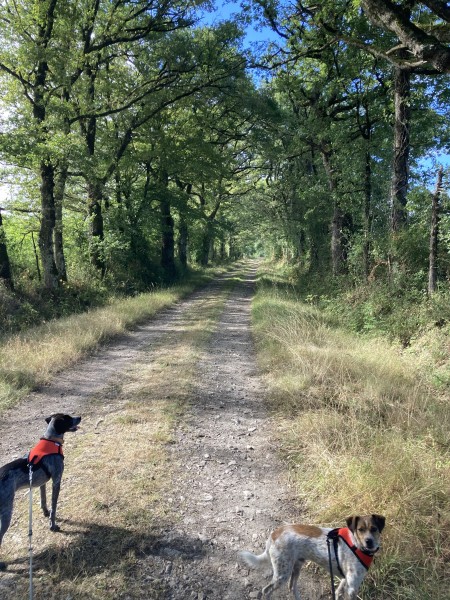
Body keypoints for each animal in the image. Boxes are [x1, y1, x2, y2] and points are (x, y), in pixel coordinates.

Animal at [0, 414, 80, 568]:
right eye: (68, 418)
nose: (79, 417)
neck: (51, 440)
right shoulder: (56, 481)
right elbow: (54, 507)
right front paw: (53, 525)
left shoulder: (41, 483)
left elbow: (44, 500)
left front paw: (45, 512)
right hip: (6, 513)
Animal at [239, 516, 386, 600]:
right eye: (360, 529)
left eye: (374, 529)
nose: (369, 542)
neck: (356, 544)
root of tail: (274, 534)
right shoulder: (352, 587)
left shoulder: (345, 581)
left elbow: (337, 593)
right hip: (282, 573)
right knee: (266, 591)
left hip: (296, 567)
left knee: (292, 587)